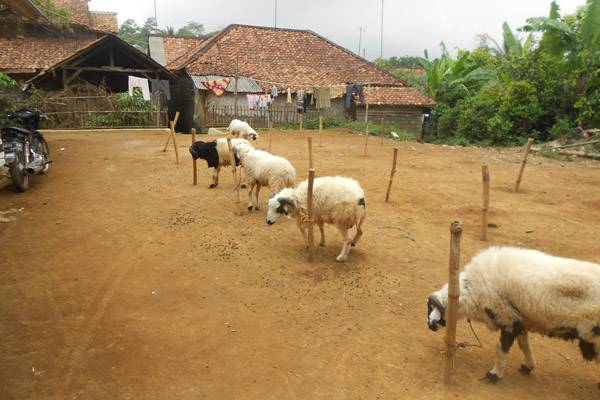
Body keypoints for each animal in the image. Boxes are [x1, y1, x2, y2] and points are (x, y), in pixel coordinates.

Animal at [426, 245, 600, 386]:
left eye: (435, 308)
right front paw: (528, 366)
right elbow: (524, 345)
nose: (430, 325)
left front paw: (494, 375)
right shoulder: (518, 320)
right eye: (429, 307)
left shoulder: (507, 318)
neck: (472, 292)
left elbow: (501, 349)